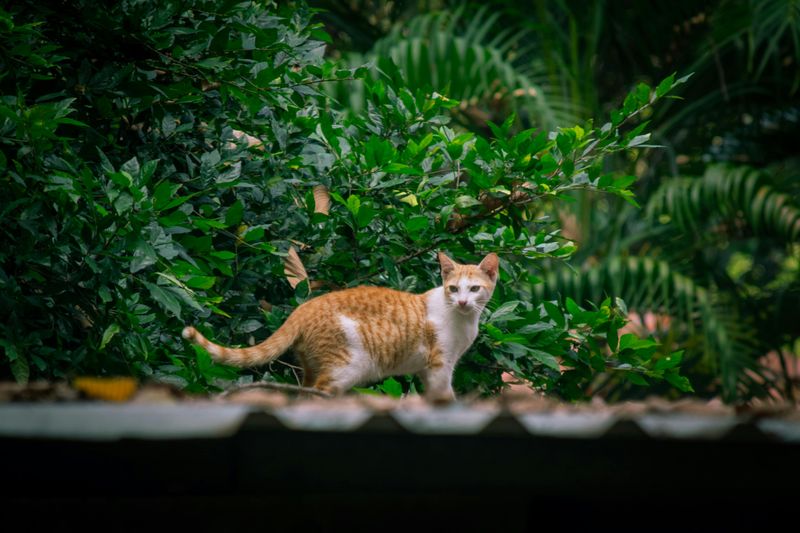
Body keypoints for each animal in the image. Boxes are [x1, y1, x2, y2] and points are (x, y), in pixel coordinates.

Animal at [183, 251, 500, 402]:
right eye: (453, 289)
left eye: (473, 289)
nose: (462, 301)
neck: (463, 320)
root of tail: (304, 307)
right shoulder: (439, 365)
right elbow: (445, 394)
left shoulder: (428, 368)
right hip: (347, 366)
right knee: (319, 394)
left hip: (314, 367)